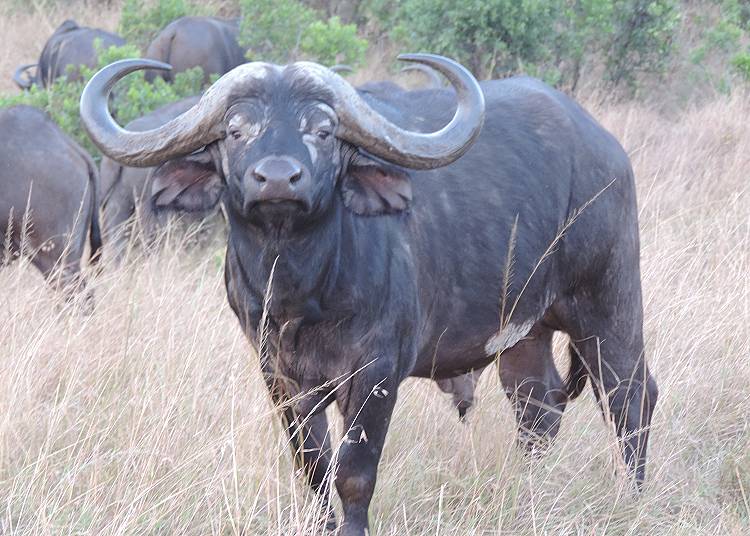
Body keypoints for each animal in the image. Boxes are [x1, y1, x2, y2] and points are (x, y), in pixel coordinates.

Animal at [82, 55, 656, 536]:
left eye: (323, 130)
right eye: (235, 129)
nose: (277, 178)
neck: (300, 290)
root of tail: (606, 148)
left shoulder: (377, 372)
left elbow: (354, 472)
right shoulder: (279, 377)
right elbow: (313, 468)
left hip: (607, 302)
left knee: (629, 396)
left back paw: (633, 496)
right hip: (523, 332)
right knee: (538, 406)